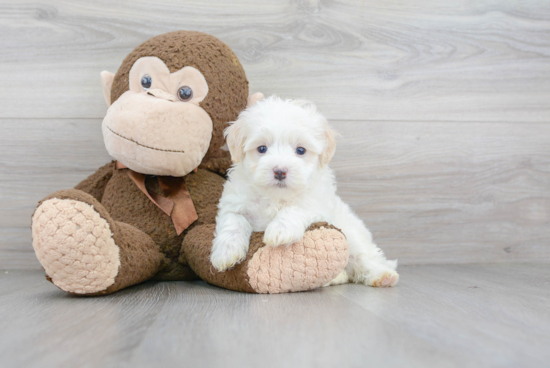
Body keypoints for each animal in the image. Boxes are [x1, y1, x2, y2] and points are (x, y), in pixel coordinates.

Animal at [212, 96, 402, 286]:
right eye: (262, 149)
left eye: (300, 150)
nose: (280, 171)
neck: (276, 197)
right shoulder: (233, 204)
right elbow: (233, 222)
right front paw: (225, 253)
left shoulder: (316, 203)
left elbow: (296, 208)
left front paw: (280, 230)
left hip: (353, 235)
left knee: (364, 258)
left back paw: (382, 275)